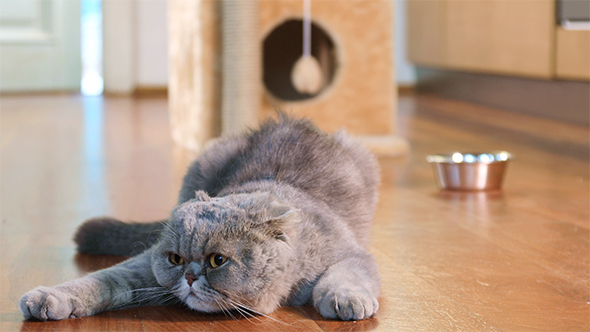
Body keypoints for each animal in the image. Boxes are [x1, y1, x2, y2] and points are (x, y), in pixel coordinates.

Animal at [20, 116, 382, 322]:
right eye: (175, 259)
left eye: (217, 260)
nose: (191, 276)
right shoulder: (145, 266)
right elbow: (102, 278)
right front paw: (49, 298)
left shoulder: (353, 255)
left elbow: (343, 276)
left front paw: (348, 301)